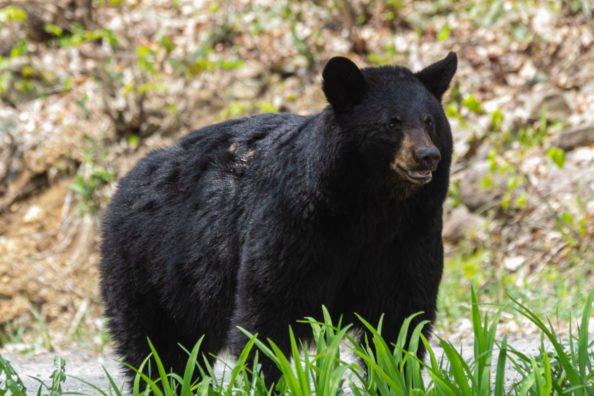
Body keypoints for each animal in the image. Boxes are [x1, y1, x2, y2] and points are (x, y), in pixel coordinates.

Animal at [99, 51, 456, 384]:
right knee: (156, 348)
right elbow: (267, 311)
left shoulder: (410, 236)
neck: (373, 208)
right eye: (392, 122)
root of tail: (127, 180)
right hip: (150, 269)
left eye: (429, 121)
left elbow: (400, 321)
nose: (427, 156)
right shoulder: (295, 224)